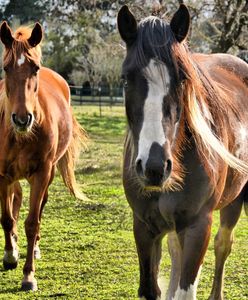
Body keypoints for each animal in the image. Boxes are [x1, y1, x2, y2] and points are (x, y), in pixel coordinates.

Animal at [0, 21, 87, 290]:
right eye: (5, 67)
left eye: (34, 68)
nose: (22, 119)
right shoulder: (2, 176)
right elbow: (7, 218)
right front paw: (10, 255)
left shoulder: (41, 173)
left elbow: (32, 222)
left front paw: (29, 275)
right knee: (15, 201)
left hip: (48, 174)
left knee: (39, 209)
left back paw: (34, 248)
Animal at [117, 4, 248, 300]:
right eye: (126, 79)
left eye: (182, 78)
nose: (154, 167)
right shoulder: (144, 227)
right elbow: (150, 288)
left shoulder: (197, 227)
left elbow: (187, 288)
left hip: (234, 201)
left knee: (223, 244)